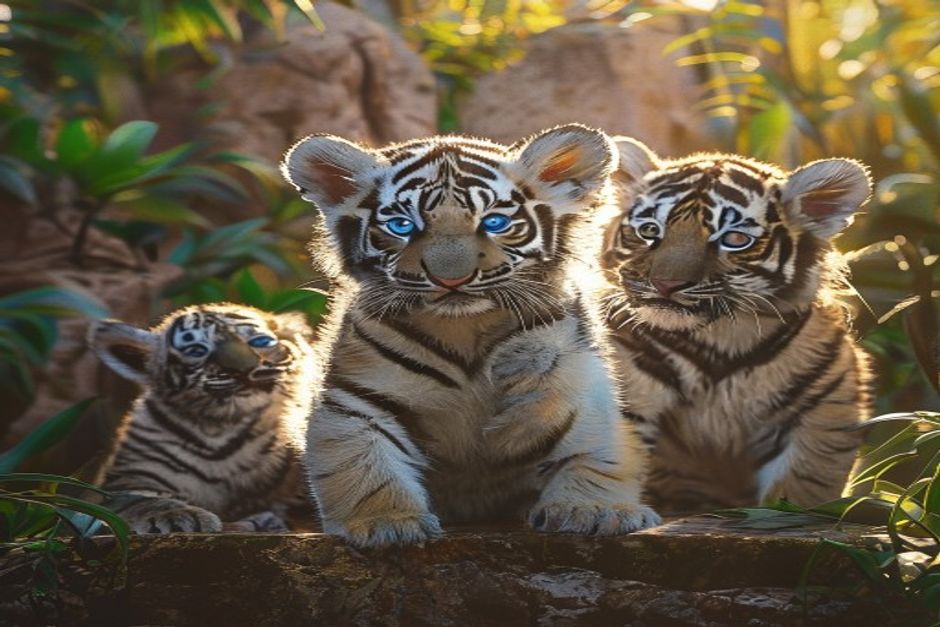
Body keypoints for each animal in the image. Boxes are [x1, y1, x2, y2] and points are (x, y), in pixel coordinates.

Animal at [88, 303, 316, 533]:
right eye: (197, 350)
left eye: (261, 341)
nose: (245, 370)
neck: (222, 426)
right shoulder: (129, 478)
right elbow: (141, 500)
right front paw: (180, 516)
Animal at [280, 124, 660, 547]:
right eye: (403, 226)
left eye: (493, 222)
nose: (452, 278)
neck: (464, 328)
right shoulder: (358, 397)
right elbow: (363, 461)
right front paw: (387, 523)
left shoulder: (577, 383)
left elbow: (591, 448)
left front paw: (594, 511)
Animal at [599, 137, 874, 516]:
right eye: (650, 231)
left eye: (734, 240)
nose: (665, 285)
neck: (719, 340)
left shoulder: (822, 409)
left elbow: (801, 488)